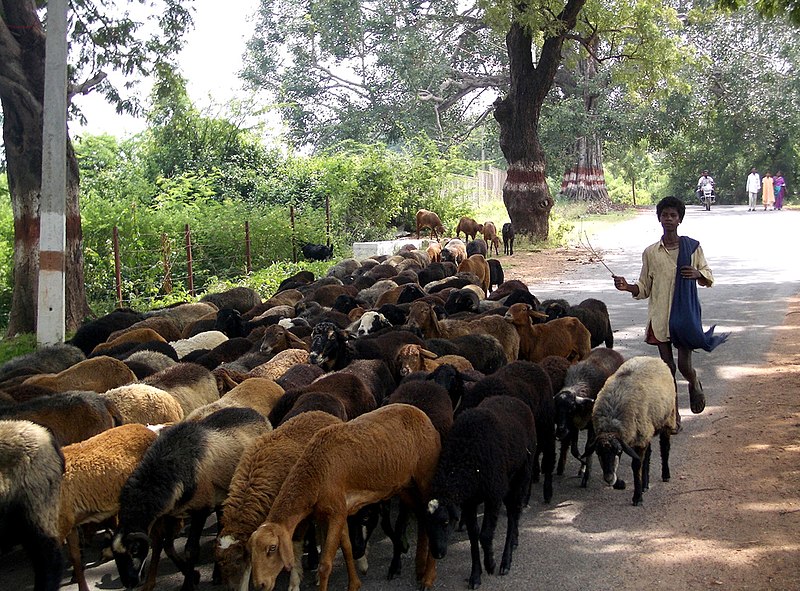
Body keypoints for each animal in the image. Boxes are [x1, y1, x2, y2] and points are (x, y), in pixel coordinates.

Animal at [424, 396, 536, 588]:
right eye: (425, 524)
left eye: (445, 522)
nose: (437, 553)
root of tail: (515, 400)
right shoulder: (469, 502)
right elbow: (473, 537)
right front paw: (475, 576)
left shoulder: (493, 495)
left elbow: (485, 535)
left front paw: (490, 564)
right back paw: (514, 541)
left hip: (519, 476)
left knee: (513, 515)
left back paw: (506, 562)